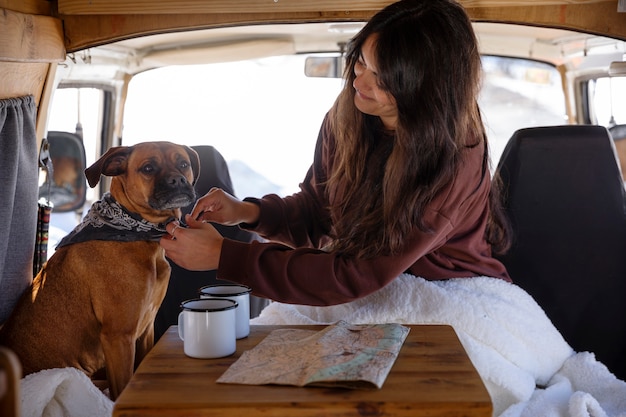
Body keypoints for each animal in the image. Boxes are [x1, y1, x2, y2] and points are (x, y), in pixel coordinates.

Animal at [0, 141, 197, 400]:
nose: (177, 180)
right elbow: (123, 386)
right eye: (148, 168)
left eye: (183, 164)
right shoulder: (119, 337)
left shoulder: (146, 330)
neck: (139, 234)